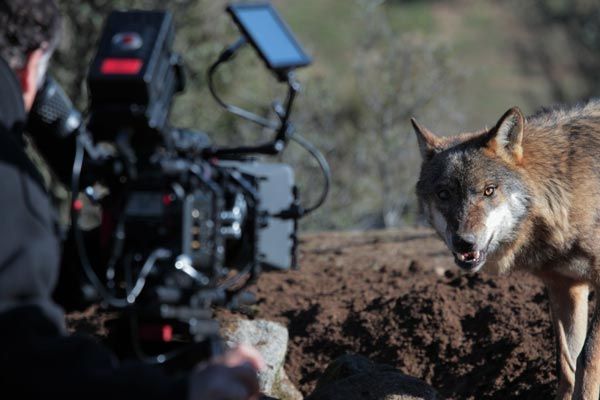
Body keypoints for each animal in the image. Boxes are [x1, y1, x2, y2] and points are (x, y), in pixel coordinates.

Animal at [414, 101, 600, 400]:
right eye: (444, 194)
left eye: (489, 191)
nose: (464, 242)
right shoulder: (565, 286)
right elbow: (566, 363)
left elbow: (587, 357)